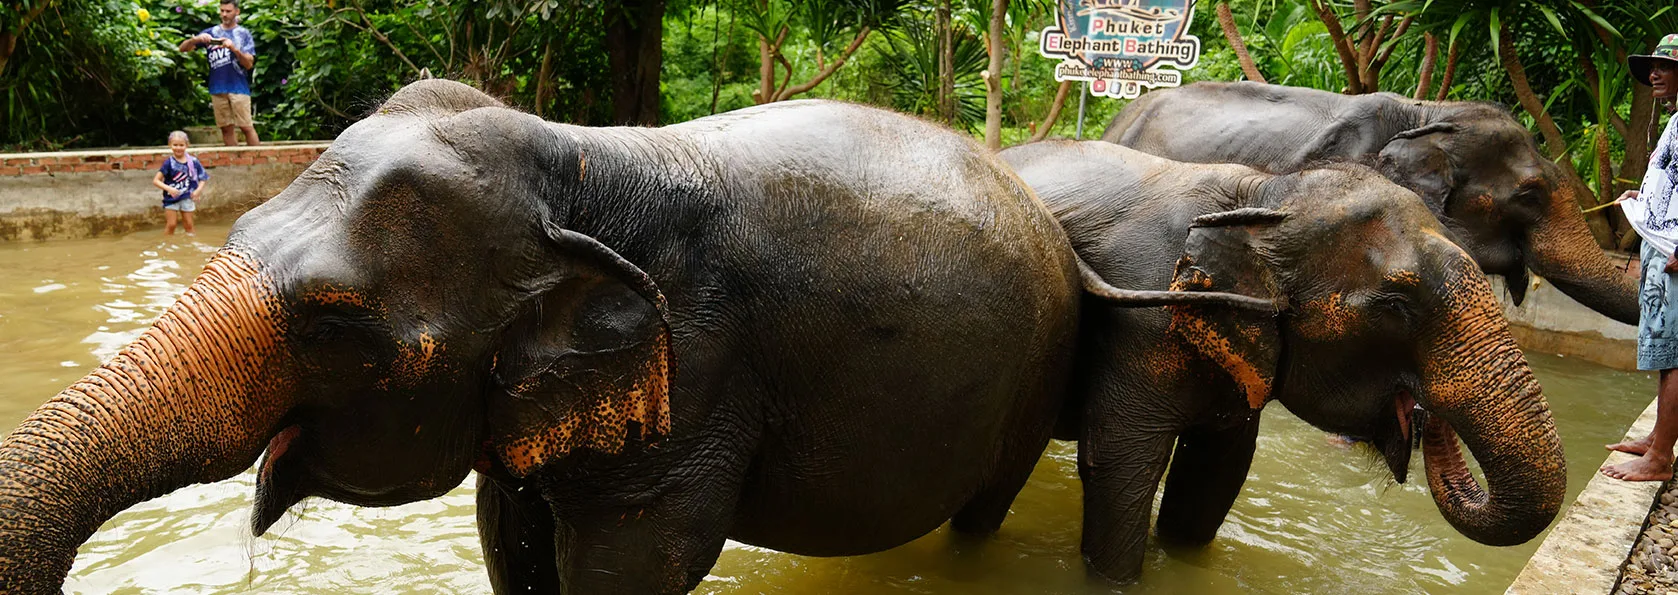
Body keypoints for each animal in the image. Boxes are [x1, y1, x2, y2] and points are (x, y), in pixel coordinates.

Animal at [0, 80, 1266, 593]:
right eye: (235, 228)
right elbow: (512, 544)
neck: (583, 160)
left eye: (332, 323)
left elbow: (636, 563)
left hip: (1031, 371)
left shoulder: (696, 371)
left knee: (984, 506)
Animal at [999, 140, 1566, 584]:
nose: (1428, 415)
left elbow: (1218, 471)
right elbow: (1120, 464)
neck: (1264, 197)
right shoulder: (1142, 321)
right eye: (1395, 305)